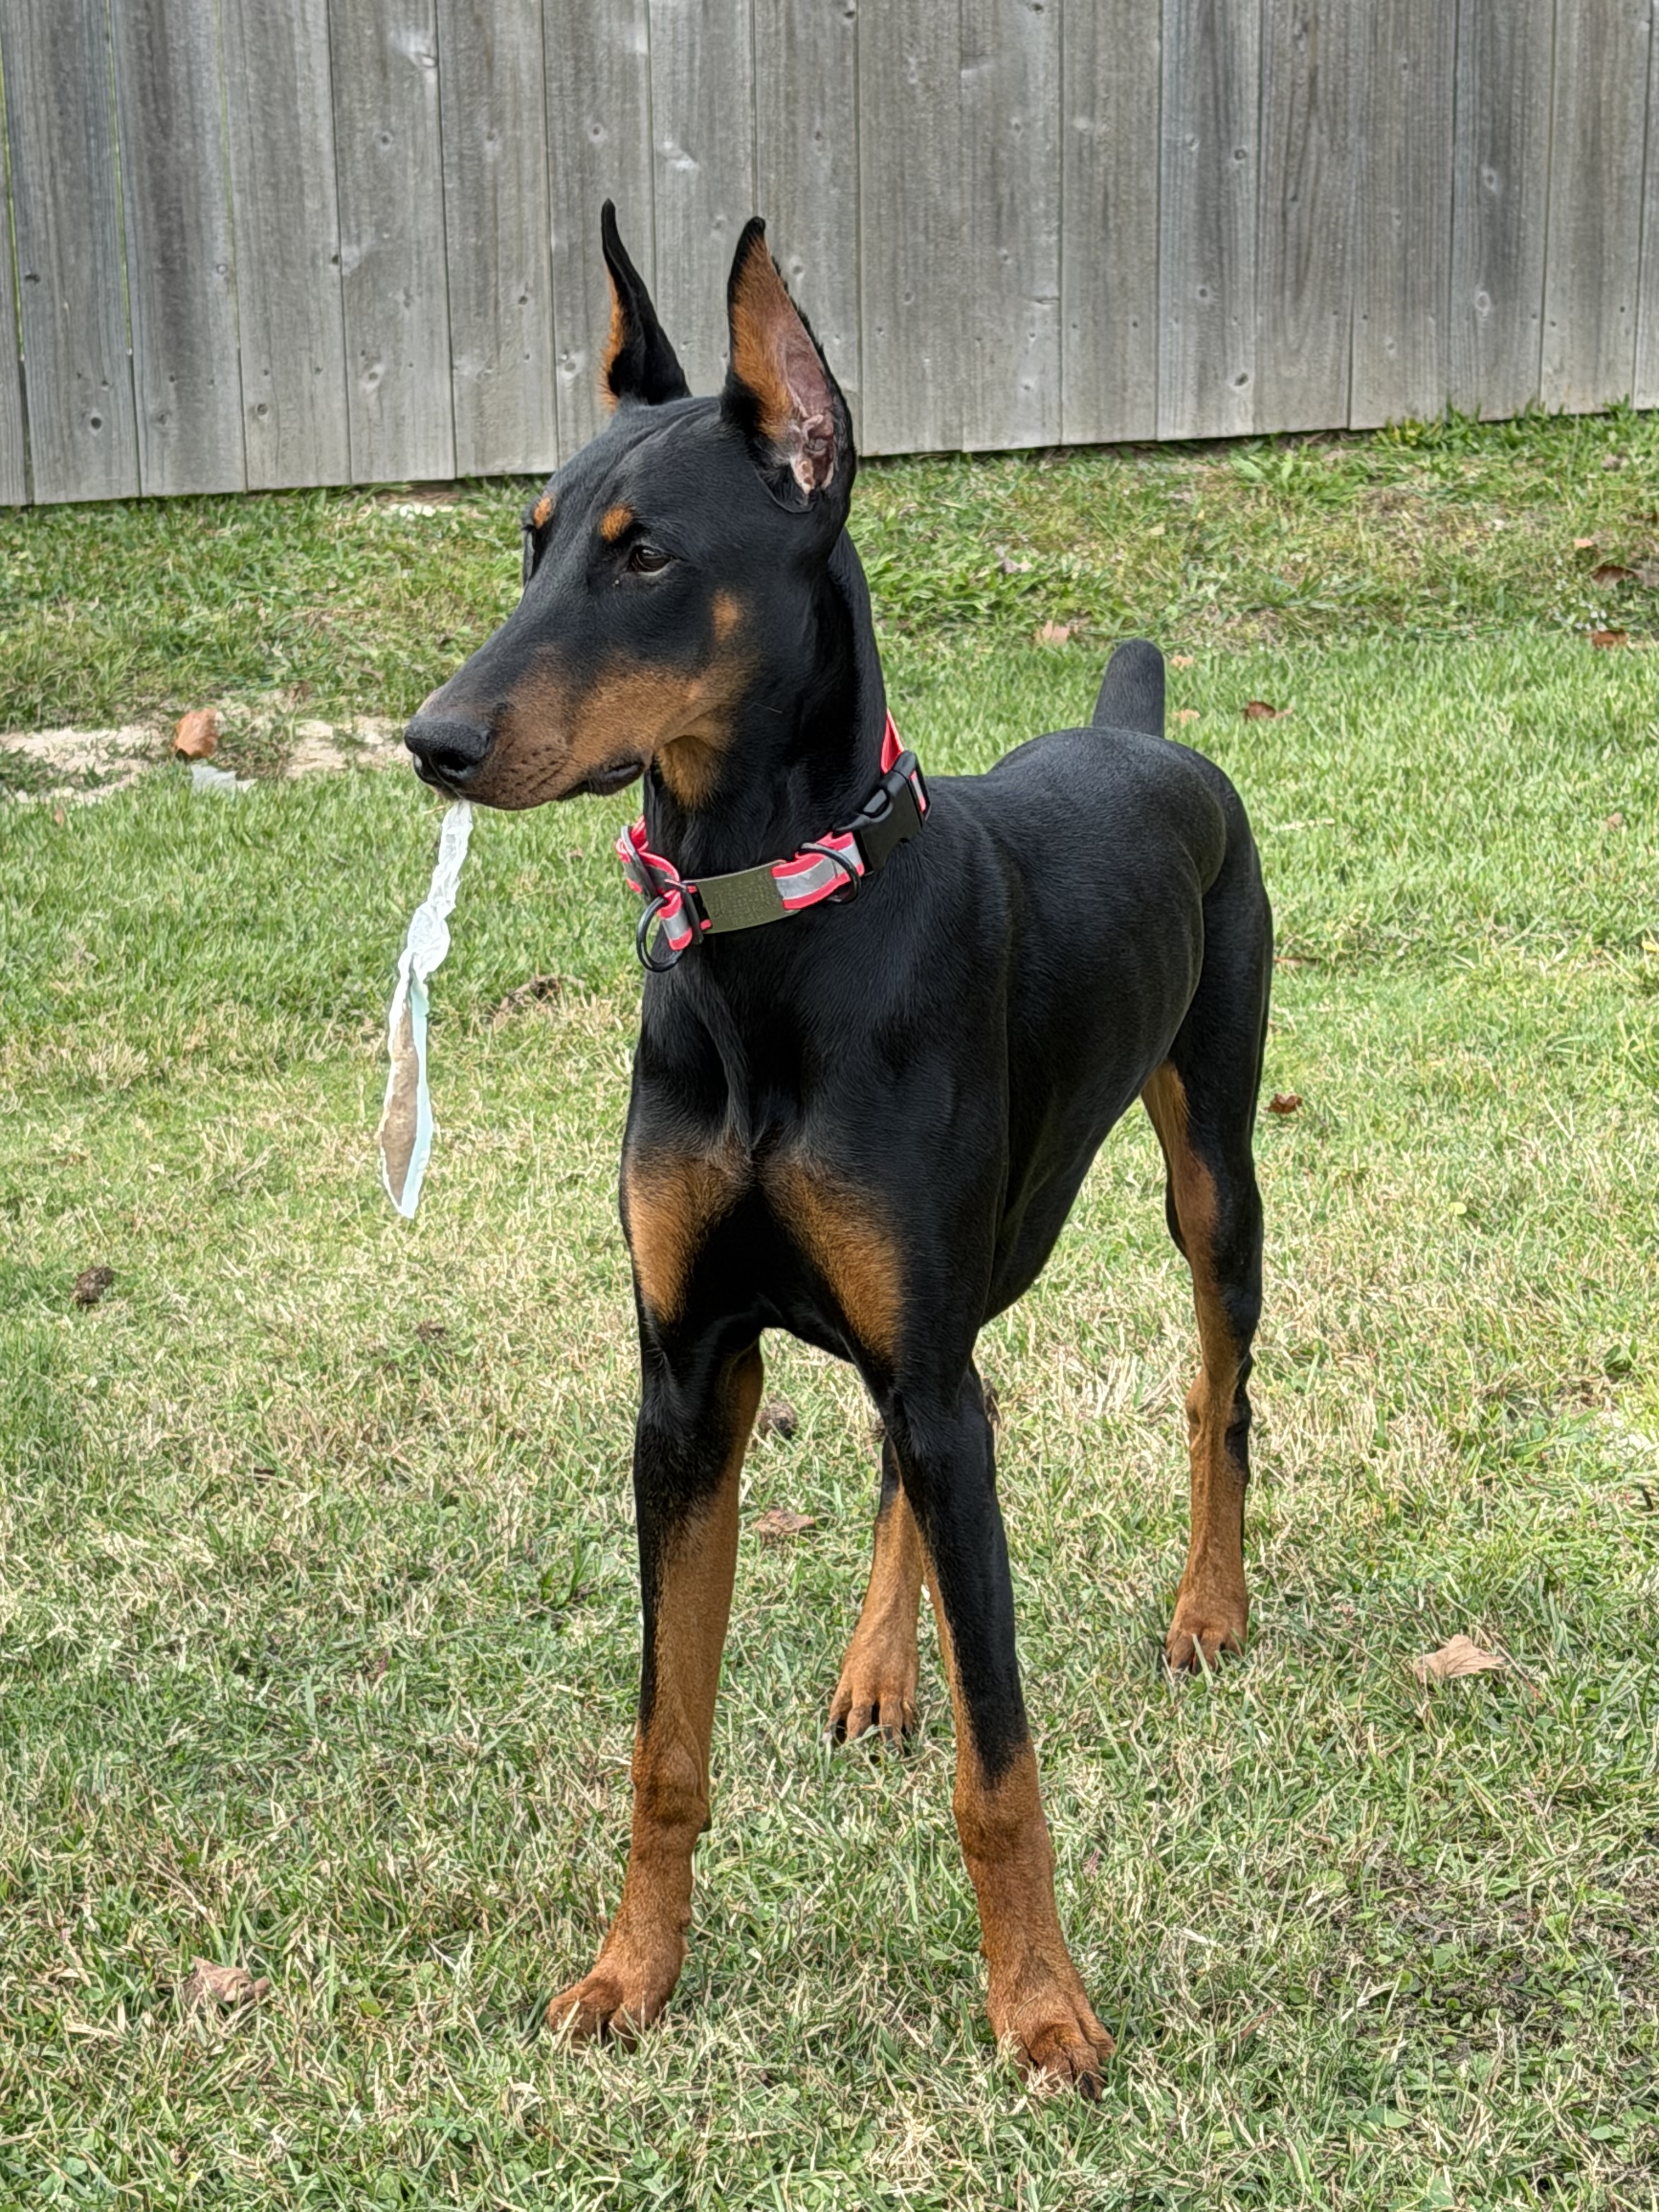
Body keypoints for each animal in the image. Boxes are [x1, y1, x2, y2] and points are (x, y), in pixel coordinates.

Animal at [404, 206, 1272, 2094]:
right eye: (533, 544)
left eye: (649, 555)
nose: (431, 740)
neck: (767, 932)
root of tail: (1139, 726)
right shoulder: (683, 1375)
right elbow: (665, 1739)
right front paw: (629, 1976)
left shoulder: (926, 1345)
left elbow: (1003, 1763)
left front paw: (1042, 2007)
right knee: (911, 1445)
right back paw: (884, 1667)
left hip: (1211, 1173)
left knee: (1215, 1385)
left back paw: (1211, 1608)